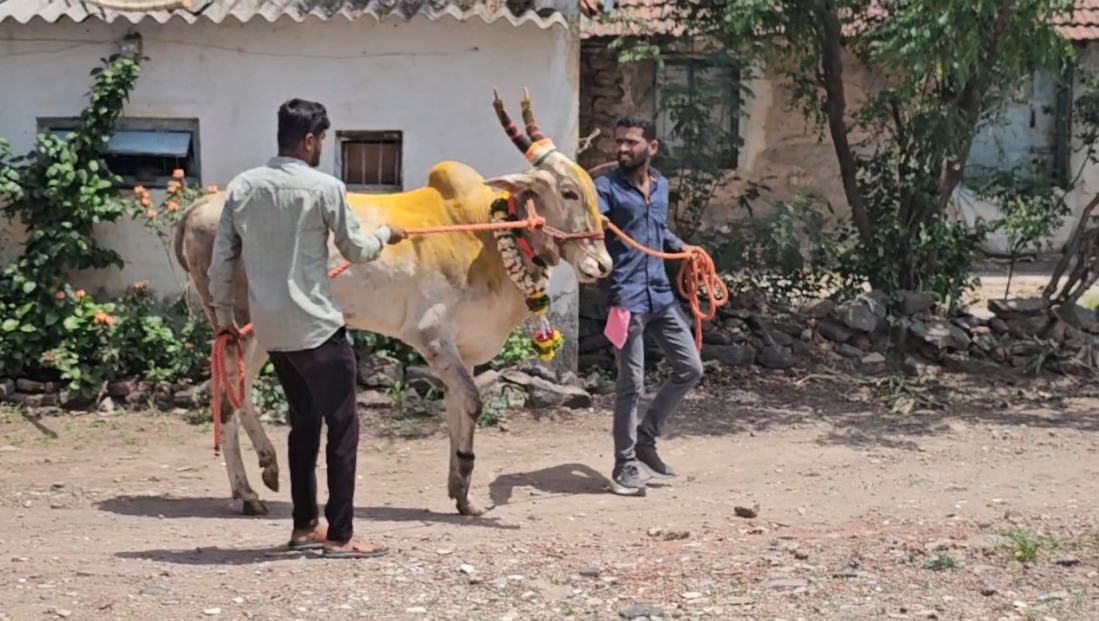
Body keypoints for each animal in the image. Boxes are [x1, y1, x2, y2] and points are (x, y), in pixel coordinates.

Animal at [175, 91, 615, 516]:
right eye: (569, 192)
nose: (602, 265)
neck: (487, 234)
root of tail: (203, 205)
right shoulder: (431, 335)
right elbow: (472, 403)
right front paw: (463, 481)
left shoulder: (465, 350)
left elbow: (457, 410)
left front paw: (462, 495)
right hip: (239, 328)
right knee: (230, 399)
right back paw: (250, 489)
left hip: (260, 334)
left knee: (237, 394)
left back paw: (259, 474)